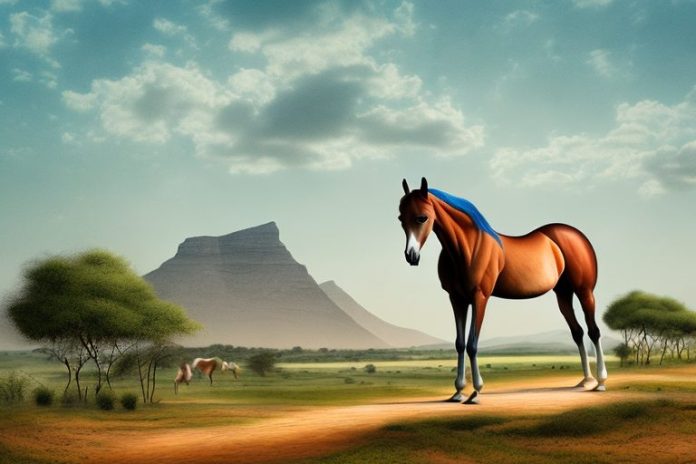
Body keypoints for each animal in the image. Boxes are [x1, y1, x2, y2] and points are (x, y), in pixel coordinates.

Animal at [399, 177, 607, 404]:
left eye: (422, 217)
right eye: (401, 218)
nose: (411, 256)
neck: (469, 248)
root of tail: (577, 235)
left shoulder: (479, 297)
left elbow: (472, 344)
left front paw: (476, 392)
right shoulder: (457, 299)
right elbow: (460, 344)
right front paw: (458, 392)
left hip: (584, 291)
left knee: (593, 331)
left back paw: (600, 382)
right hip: (563, 294)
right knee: (577, 332)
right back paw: (585, 380)